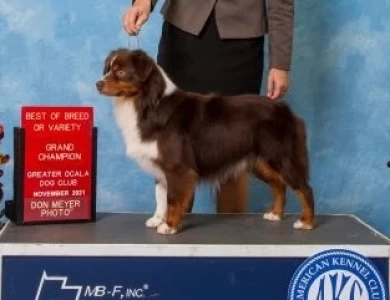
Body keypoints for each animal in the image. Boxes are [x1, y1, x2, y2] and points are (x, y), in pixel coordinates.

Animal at [96, 48, 316, 234]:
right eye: (108, 69)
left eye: (121, 71)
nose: (98, 84)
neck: (148, 104)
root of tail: (284, 109)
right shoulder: (160, 164)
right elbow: (160, 196)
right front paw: (157, 219)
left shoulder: (177, 167)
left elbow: (172, 199)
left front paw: (169, 226)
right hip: (260, 162)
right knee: (279, 185)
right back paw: (275, 214)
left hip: (281, 157)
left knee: (304, 188)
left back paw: (306, 222)